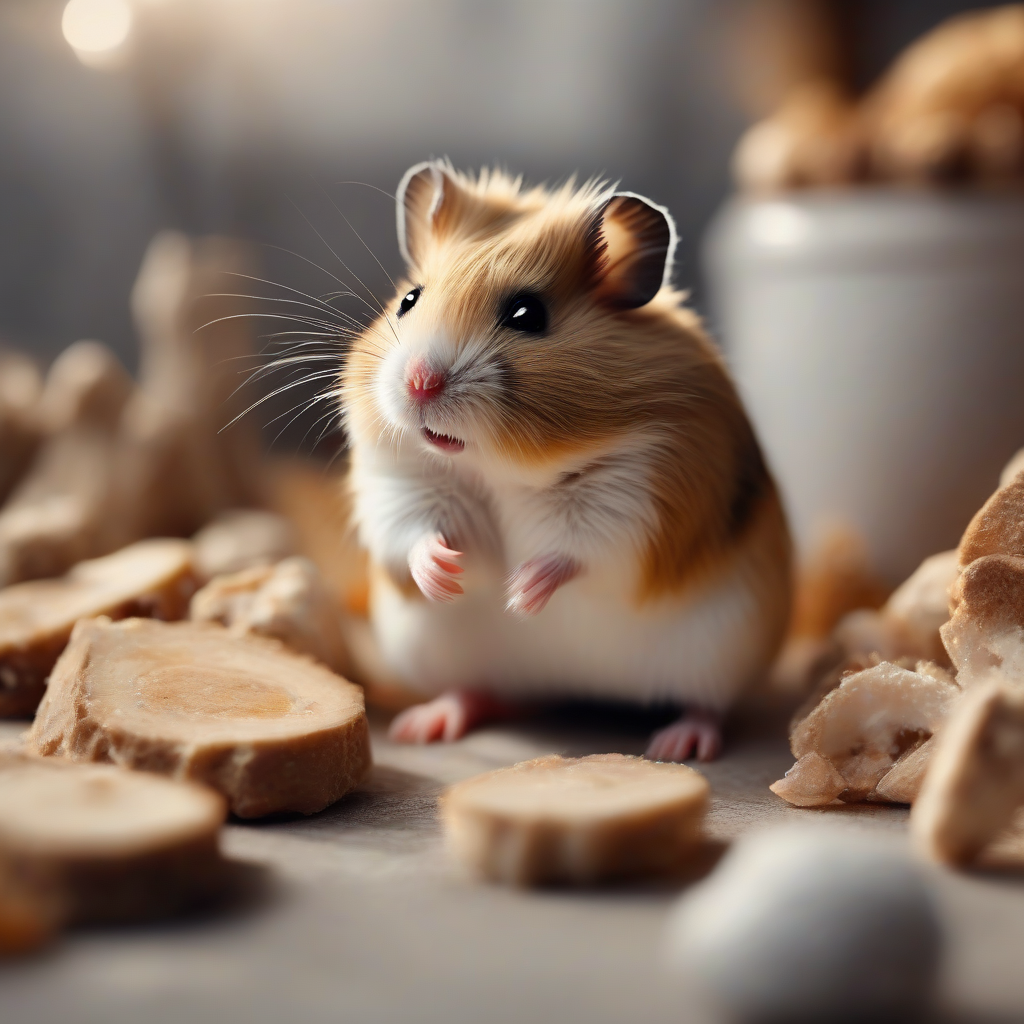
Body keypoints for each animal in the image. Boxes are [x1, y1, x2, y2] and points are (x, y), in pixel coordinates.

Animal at [341, 160, 791, 761]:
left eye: (527, 314)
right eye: (409, 300)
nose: (419, 382)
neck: (498, 470)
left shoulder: (640, 493)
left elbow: (580, 548)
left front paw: (520, 593)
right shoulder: (399, 482)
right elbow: (412, 532)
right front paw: (447, 575)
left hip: (723, 650)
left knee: (707, 706)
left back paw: (679, 744)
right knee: (475, 691)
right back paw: (427, 724)